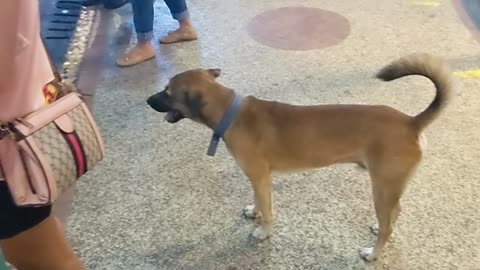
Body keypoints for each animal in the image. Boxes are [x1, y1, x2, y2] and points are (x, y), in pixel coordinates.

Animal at [146, 53, 454, 262]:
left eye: (167, 92)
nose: (148, 100)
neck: (230, 111)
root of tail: (411, 123)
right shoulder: (258, 178)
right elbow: (258, 201)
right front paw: (254, 212)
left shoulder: (260, 177)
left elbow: (268, 210)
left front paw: (263, 231)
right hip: (389, 186)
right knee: (394, 214)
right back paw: (379, 226)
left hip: (382, 185)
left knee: (389, 225)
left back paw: (373, 253)